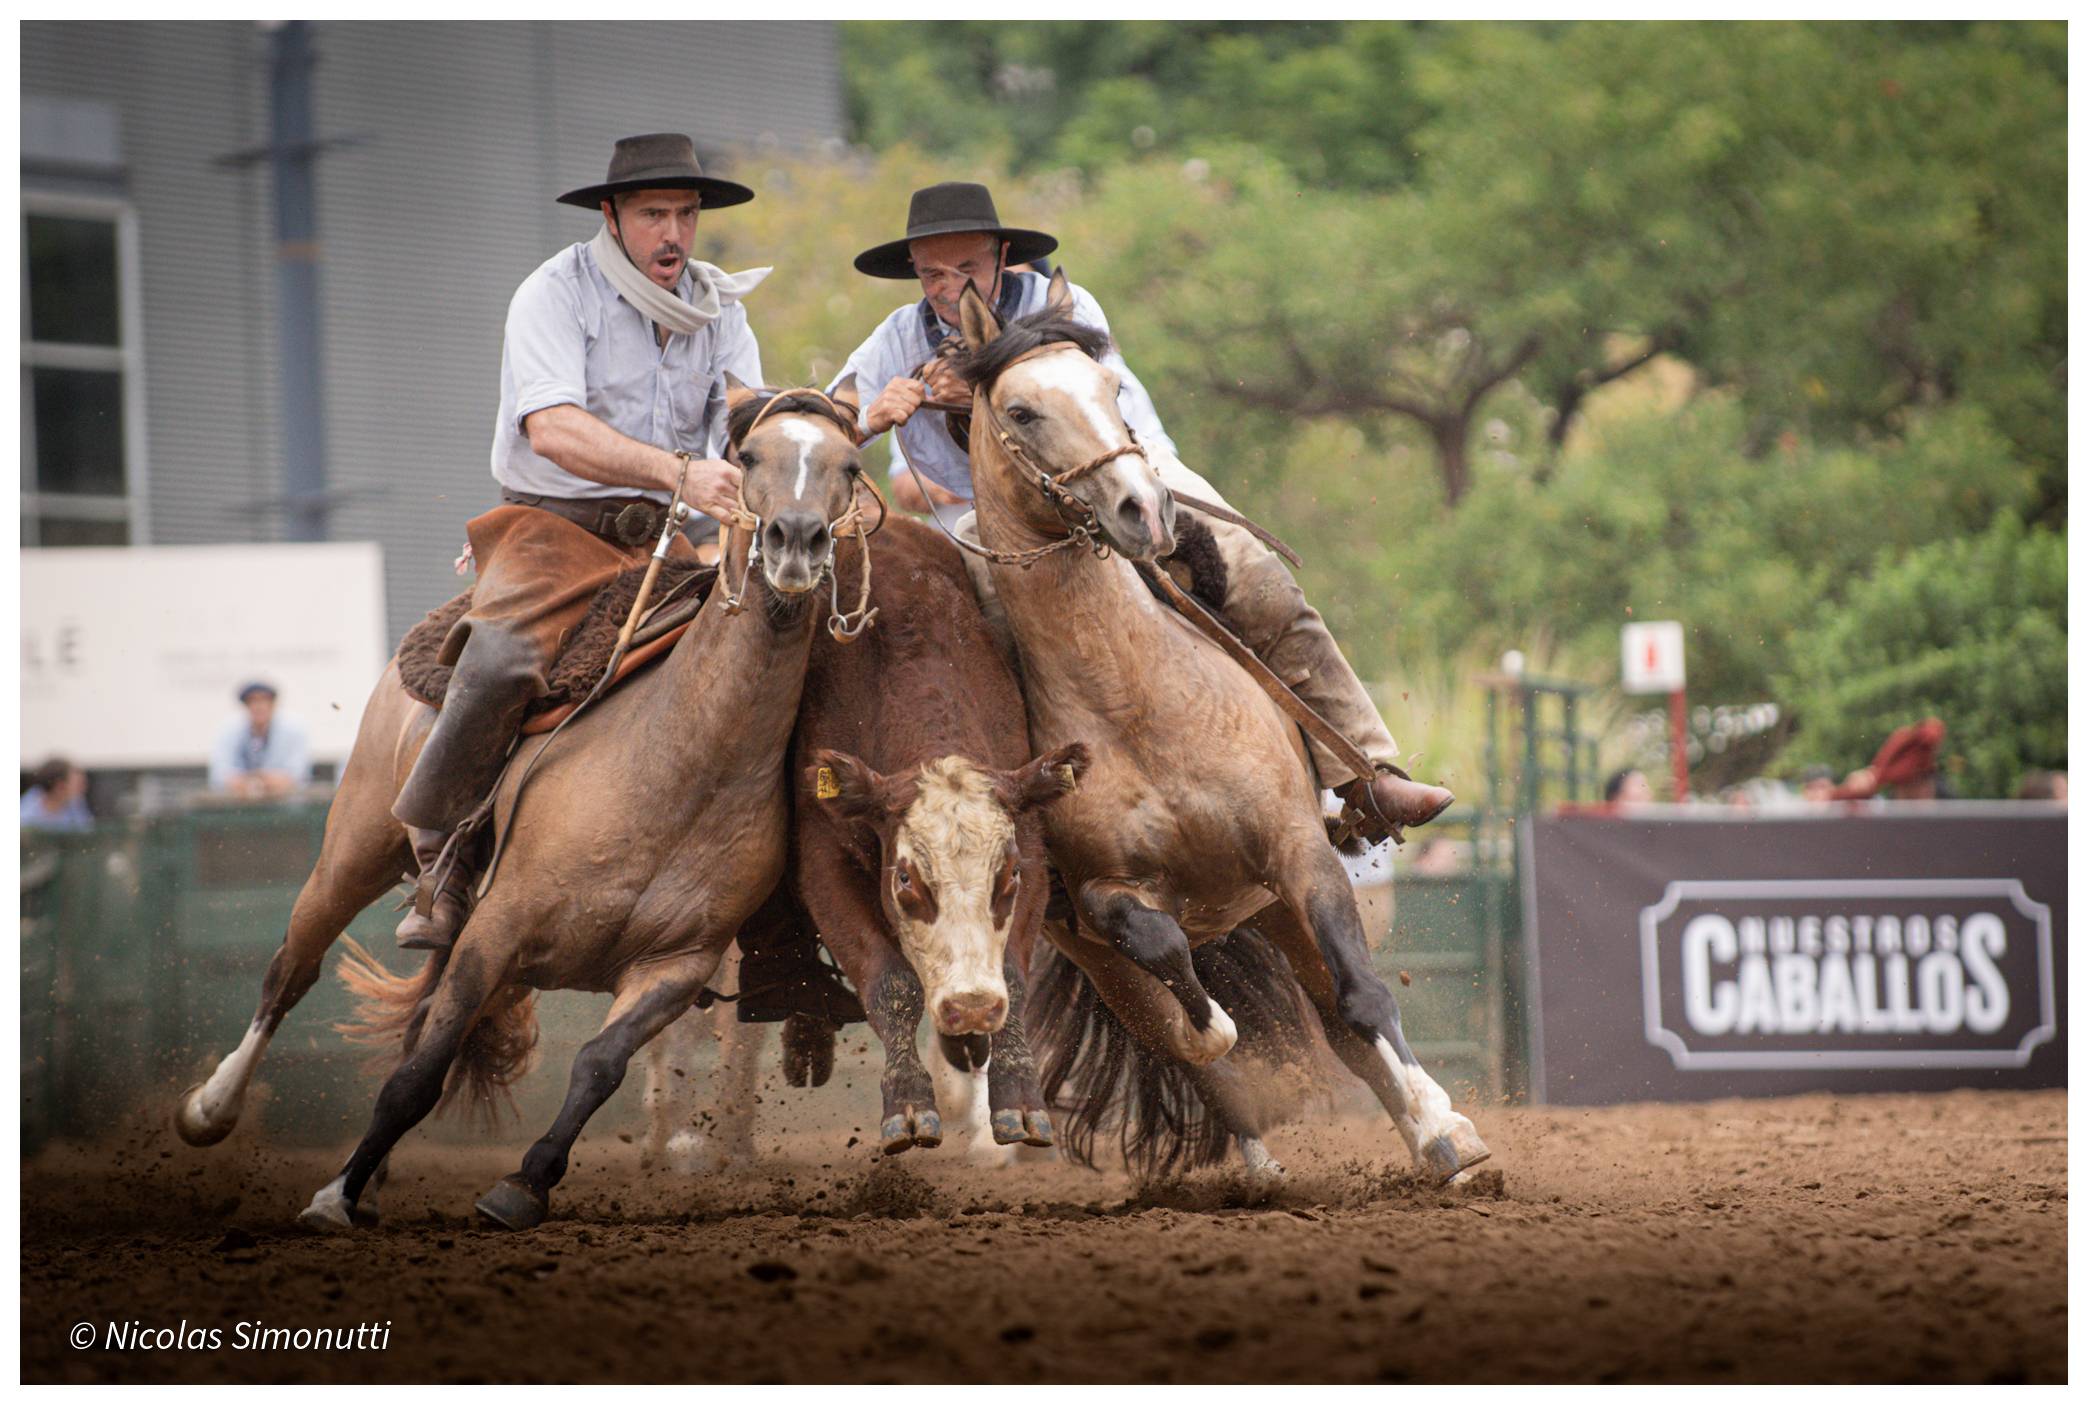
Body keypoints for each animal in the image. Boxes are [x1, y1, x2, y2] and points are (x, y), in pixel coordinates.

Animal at [175, 377, 869, 1231]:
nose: (796, 540)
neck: (681, 759)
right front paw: (332, 1197)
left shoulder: (677, 964)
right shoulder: (495, 929)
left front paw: (522, 1184)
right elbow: (417, 1075)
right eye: (746, 457)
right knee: (289, 971)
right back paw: (212, 1109)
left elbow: (597, 1065)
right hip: (355, 848)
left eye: (848, 463)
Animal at [949, 275, 1490, 1183]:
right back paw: (1258, 1164)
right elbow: (1183, 995)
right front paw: (1215, 1029)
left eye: (1111, 389)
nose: (1142, 506)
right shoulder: (1103, 900)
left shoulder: (1297, 847)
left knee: (1341, 1020)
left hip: (1274, 903)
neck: (1135, 698)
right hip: (1107, 953)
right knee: (1181, 1044)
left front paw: (1446, 1126)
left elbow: (1363, 995)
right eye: (1021, 410)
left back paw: (1437, 1132)